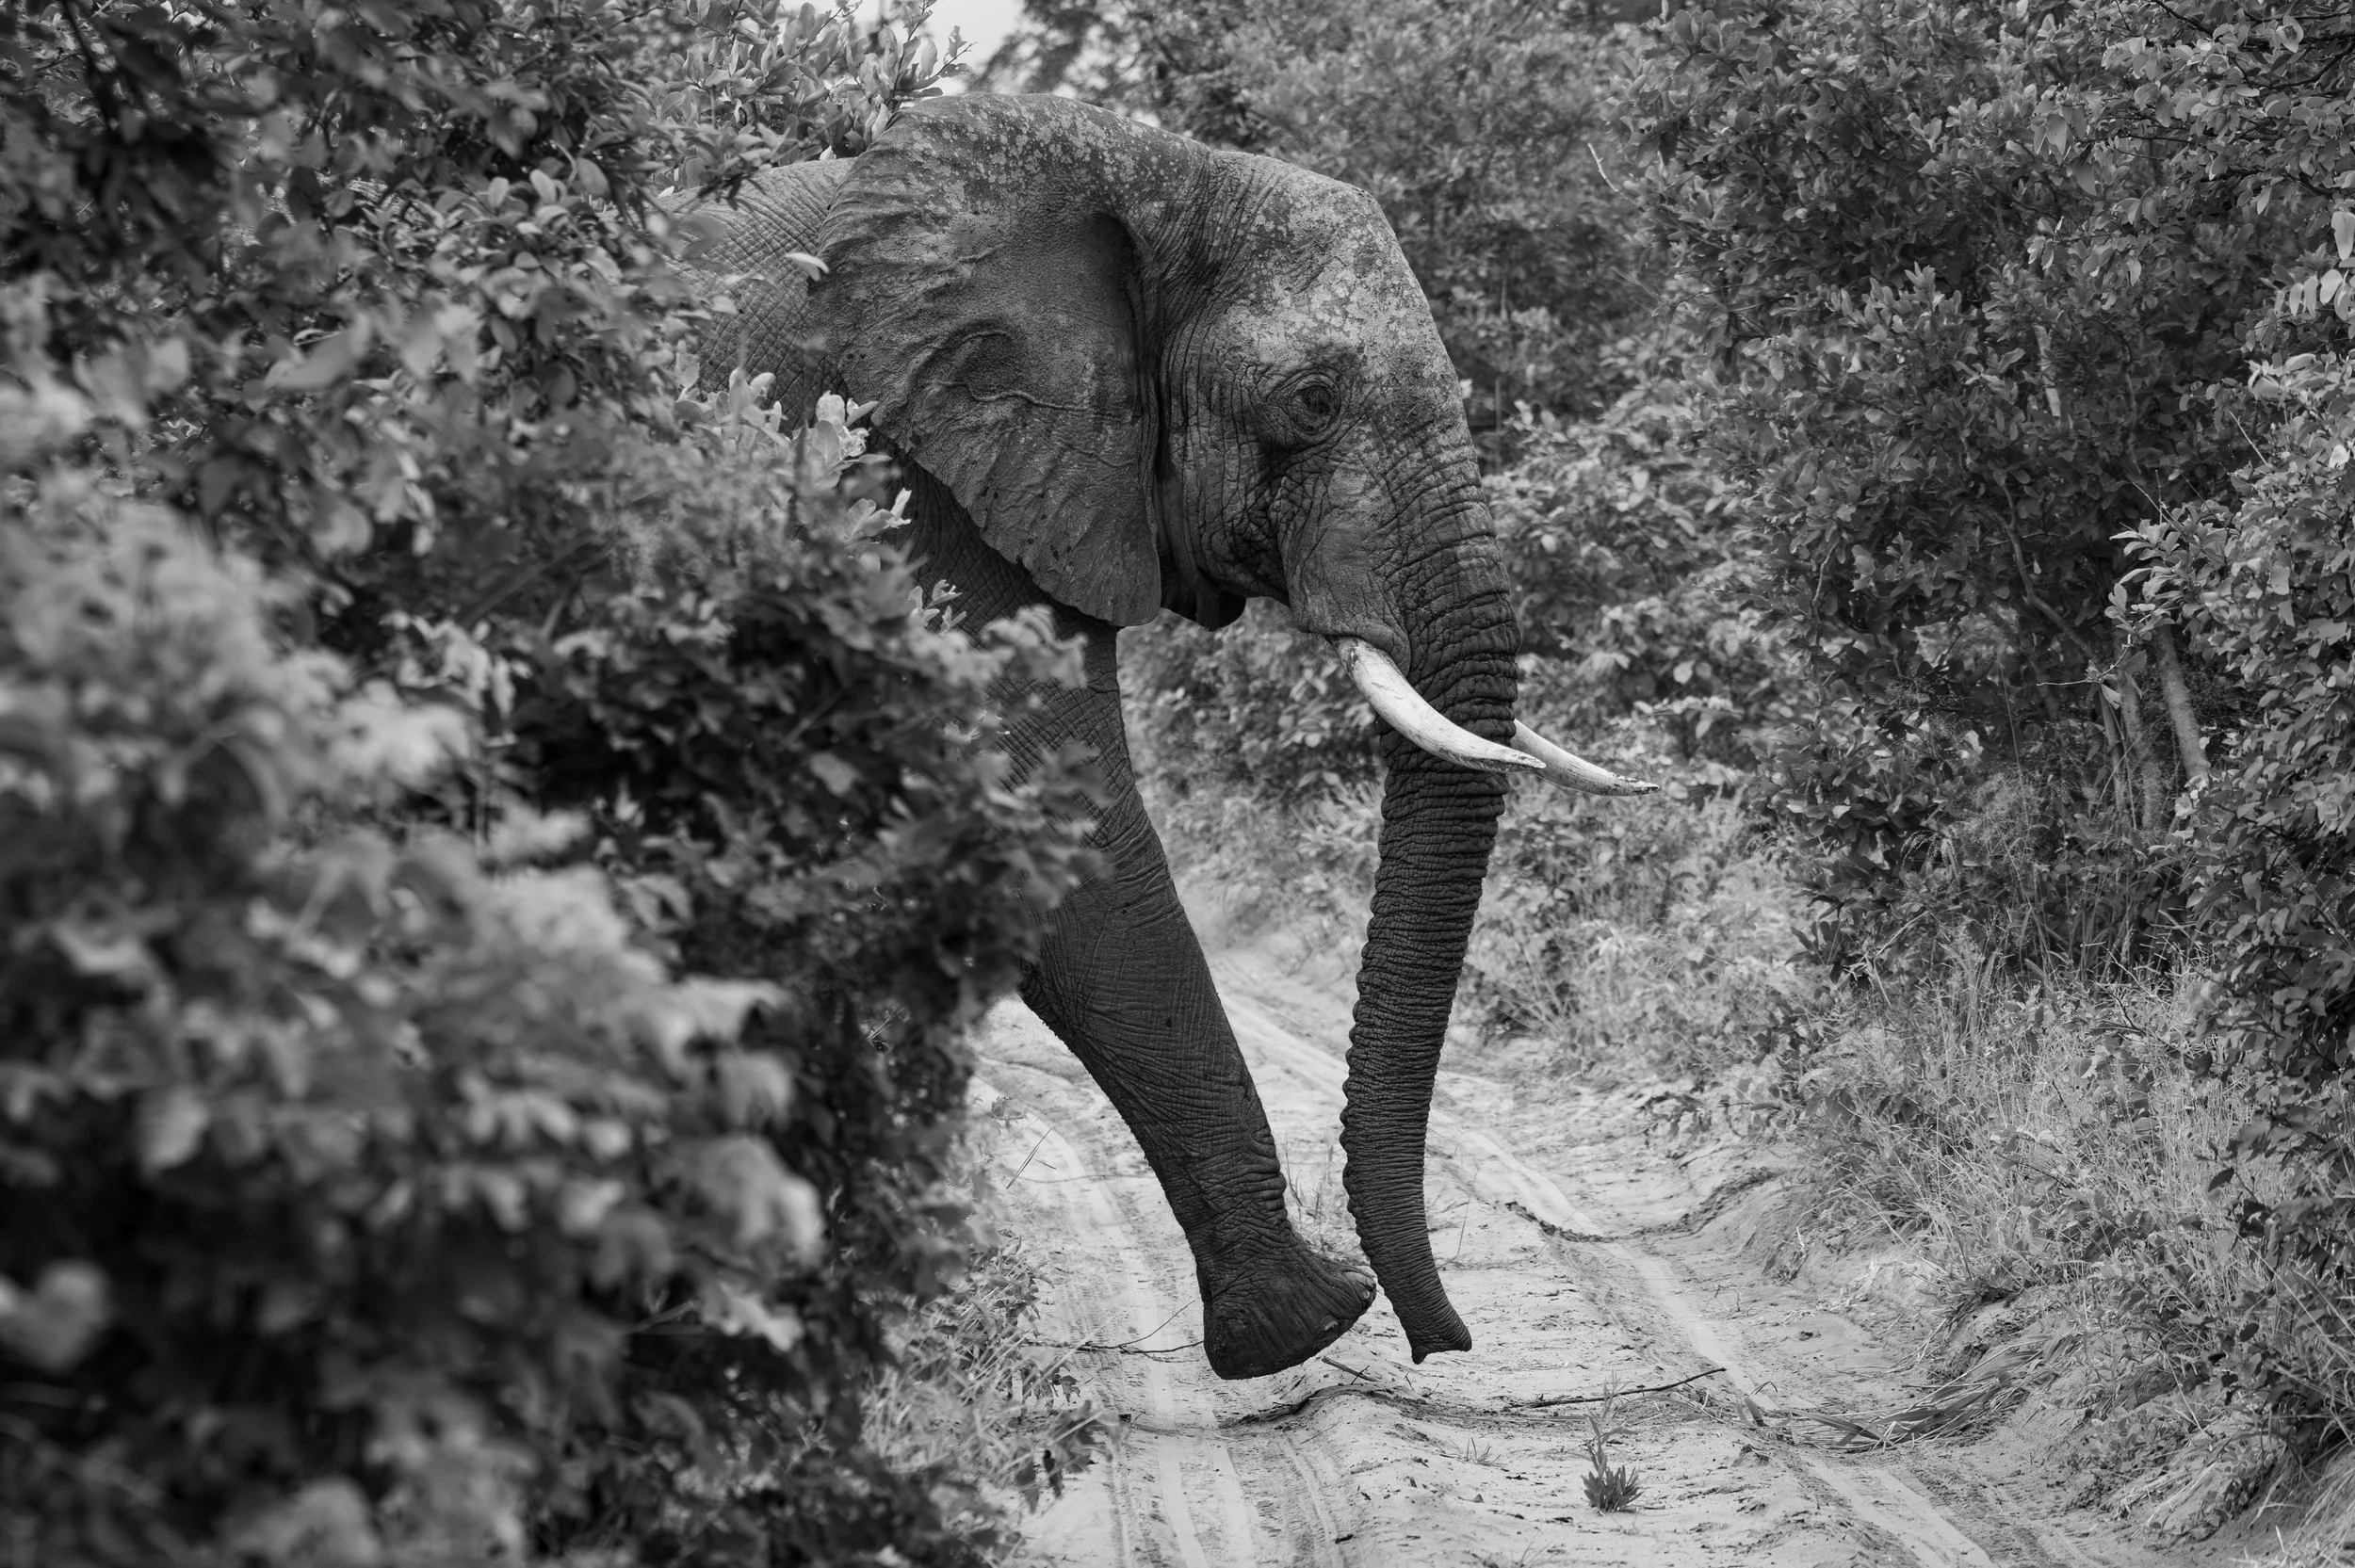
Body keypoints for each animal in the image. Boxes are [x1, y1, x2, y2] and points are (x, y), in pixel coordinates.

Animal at [676, 93, 1652, 1380]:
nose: (1443, 1343)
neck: (1144, 168)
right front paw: (1307, 1320)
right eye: (1312, 404)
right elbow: (1049, 810)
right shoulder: (889, 461)